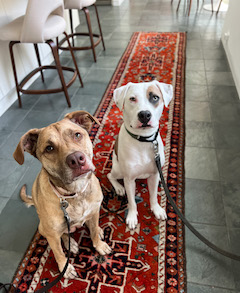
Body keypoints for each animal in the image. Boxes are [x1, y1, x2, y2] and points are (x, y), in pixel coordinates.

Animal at [14, 110, 112, 278]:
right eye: (49, 148)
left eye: (77, 135)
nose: (77, 159)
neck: (75, 194)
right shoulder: (52, 234)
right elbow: (58, 252)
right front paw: (65, 267)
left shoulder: (94, 210)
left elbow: (92, 231)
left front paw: (98, 244)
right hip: (43, 227)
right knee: (64, 234)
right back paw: (70, 243)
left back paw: (97, 229)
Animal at [108, 79, 173, 228]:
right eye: (132, 99)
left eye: (155, 97)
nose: (144, 115)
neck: (143, 141)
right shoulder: (129, 179)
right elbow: (132, 201)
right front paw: (132, 217)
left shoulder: (154, 174)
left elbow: (153, 195)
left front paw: (156, 209)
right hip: (118, 170)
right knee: (110, 175)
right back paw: (119, 188)